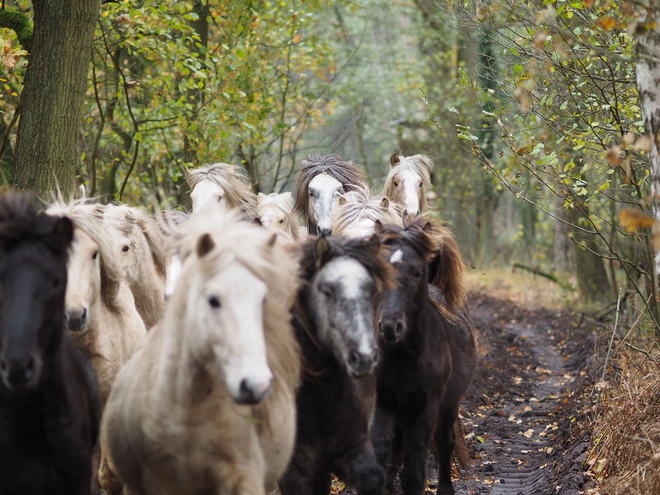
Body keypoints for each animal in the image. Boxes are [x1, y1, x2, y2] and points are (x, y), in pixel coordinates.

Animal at [280, 235, 392, 495]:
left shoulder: (353, 448)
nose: (363, 357)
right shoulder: (295, 470)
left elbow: (372, 478)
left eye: (372, 290)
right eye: (327, 291)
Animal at [372, 219, 474, 495]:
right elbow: (383, 454)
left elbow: (415, 471)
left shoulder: (426, 409)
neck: (402, 360)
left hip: (449, 405)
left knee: (444, 443)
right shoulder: (383, 403)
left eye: (417, 272)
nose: (389, 326)